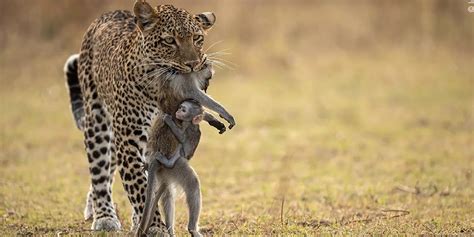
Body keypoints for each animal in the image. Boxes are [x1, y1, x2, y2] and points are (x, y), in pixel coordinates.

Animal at [62, 0, 232, 232]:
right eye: (169, 40)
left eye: (197, 38)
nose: (193, 64)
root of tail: (106, 15)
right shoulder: (129, 139)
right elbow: (140, 188)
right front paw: (154, 227)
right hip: (98, 120)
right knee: (99, 170)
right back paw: (104, 215)